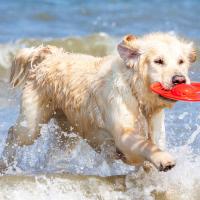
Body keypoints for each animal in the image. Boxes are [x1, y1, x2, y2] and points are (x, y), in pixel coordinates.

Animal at [0, 32, 196, 172]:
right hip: (31, 126)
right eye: (158, 61)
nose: (179, 79)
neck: (135, 91)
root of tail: (49, 57)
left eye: (181, 61)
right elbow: (145, 145)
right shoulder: (123, 134)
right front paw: (164, 159)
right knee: (13, 133)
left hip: (67, 133)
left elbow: (153, 146)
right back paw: (5, 164)